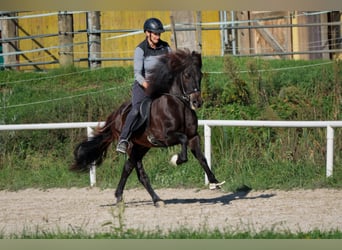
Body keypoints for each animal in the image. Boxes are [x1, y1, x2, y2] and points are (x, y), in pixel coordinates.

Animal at [71, 48, 223, 207]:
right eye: (187, 75)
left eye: (200, 75)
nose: (197, 102)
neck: (179, 105)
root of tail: (117, 114)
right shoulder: (165, 137)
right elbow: (182, 139)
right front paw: (176, 160)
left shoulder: (193, 136)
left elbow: (202, 158)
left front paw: (214, 182)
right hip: (132, 146)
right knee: (139, 173)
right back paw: (153, 199)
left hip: (142, 147)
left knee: (127, 168)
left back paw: (126, 197)